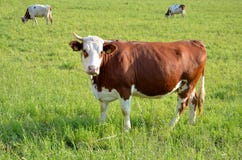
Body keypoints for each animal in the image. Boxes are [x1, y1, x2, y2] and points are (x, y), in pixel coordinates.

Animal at [69, 32, 207, 131]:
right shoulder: (103, 91)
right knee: (194, 101)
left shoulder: (125, 89)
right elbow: (103, 109)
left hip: (187, 85)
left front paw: (126, 130)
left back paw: (170, 127)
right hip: (189, 85)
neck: (99, 81)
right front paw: (101, 125)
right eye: (84, 51)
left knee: (181, 106)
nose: (92, 68)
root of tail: (194, 42)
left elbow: (125, 111)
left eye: (101, 52)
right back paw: (191, 123)